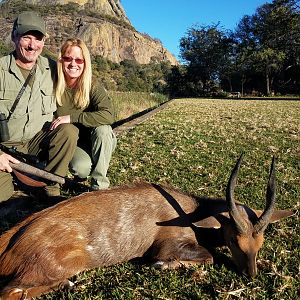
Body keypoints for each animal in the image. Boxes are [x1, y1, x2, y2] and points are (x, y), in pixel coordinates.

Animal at [0, 156, 296, 298]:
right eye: (234, 239)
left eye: (260, 243)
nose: (251, 274)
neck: (191, 213)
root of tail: (10, 240)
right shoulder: (166, 245)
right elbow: (208, 257)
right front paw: (163, 266)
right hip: (58, 265)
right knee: (10, 292)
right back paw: (67, 284)